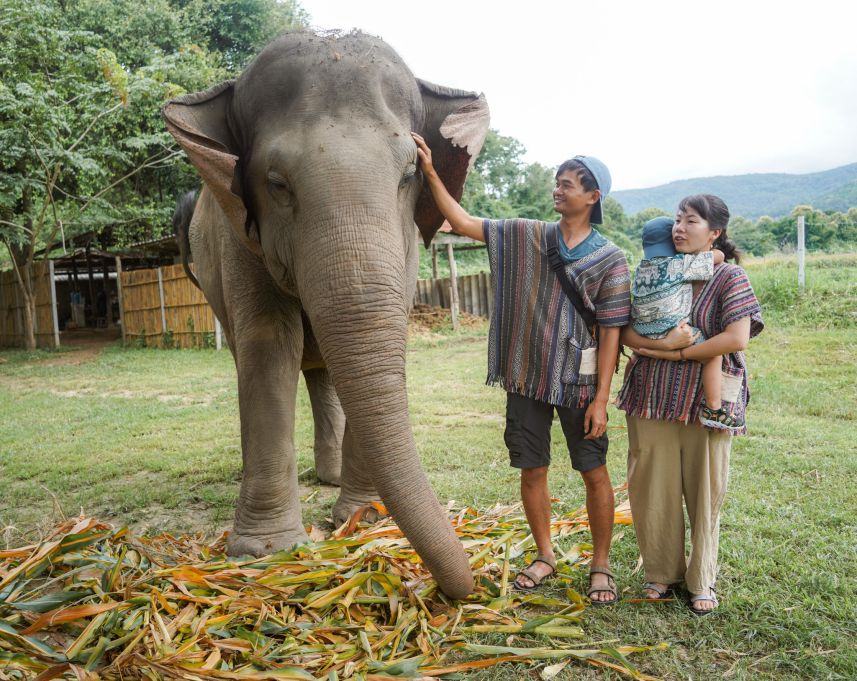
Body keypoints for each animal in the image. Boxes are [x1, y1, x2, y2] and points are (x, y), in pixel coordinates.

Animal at [162, 29, 488, 596]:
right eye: (276, 183)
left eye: (410, 173)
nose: (461, 589)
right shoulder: (238, 239)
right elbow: (270, 343)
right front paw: (265, 550)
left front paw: (364, 518)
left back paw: (332, 479)